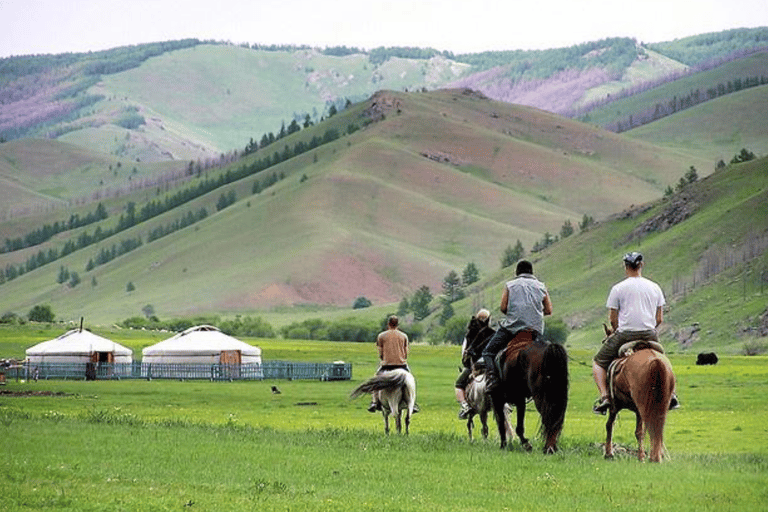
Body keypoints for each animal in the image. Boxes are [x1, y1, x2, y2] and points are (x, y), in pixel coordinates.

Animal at [604, 334, 676, 462]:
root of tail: (656, 361)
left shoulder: (615, 405)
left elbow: (610, 425)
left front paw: (609, 453)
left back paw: (648, 456)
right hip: (662, 401)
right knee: (658, 427)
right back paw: (656, 456)